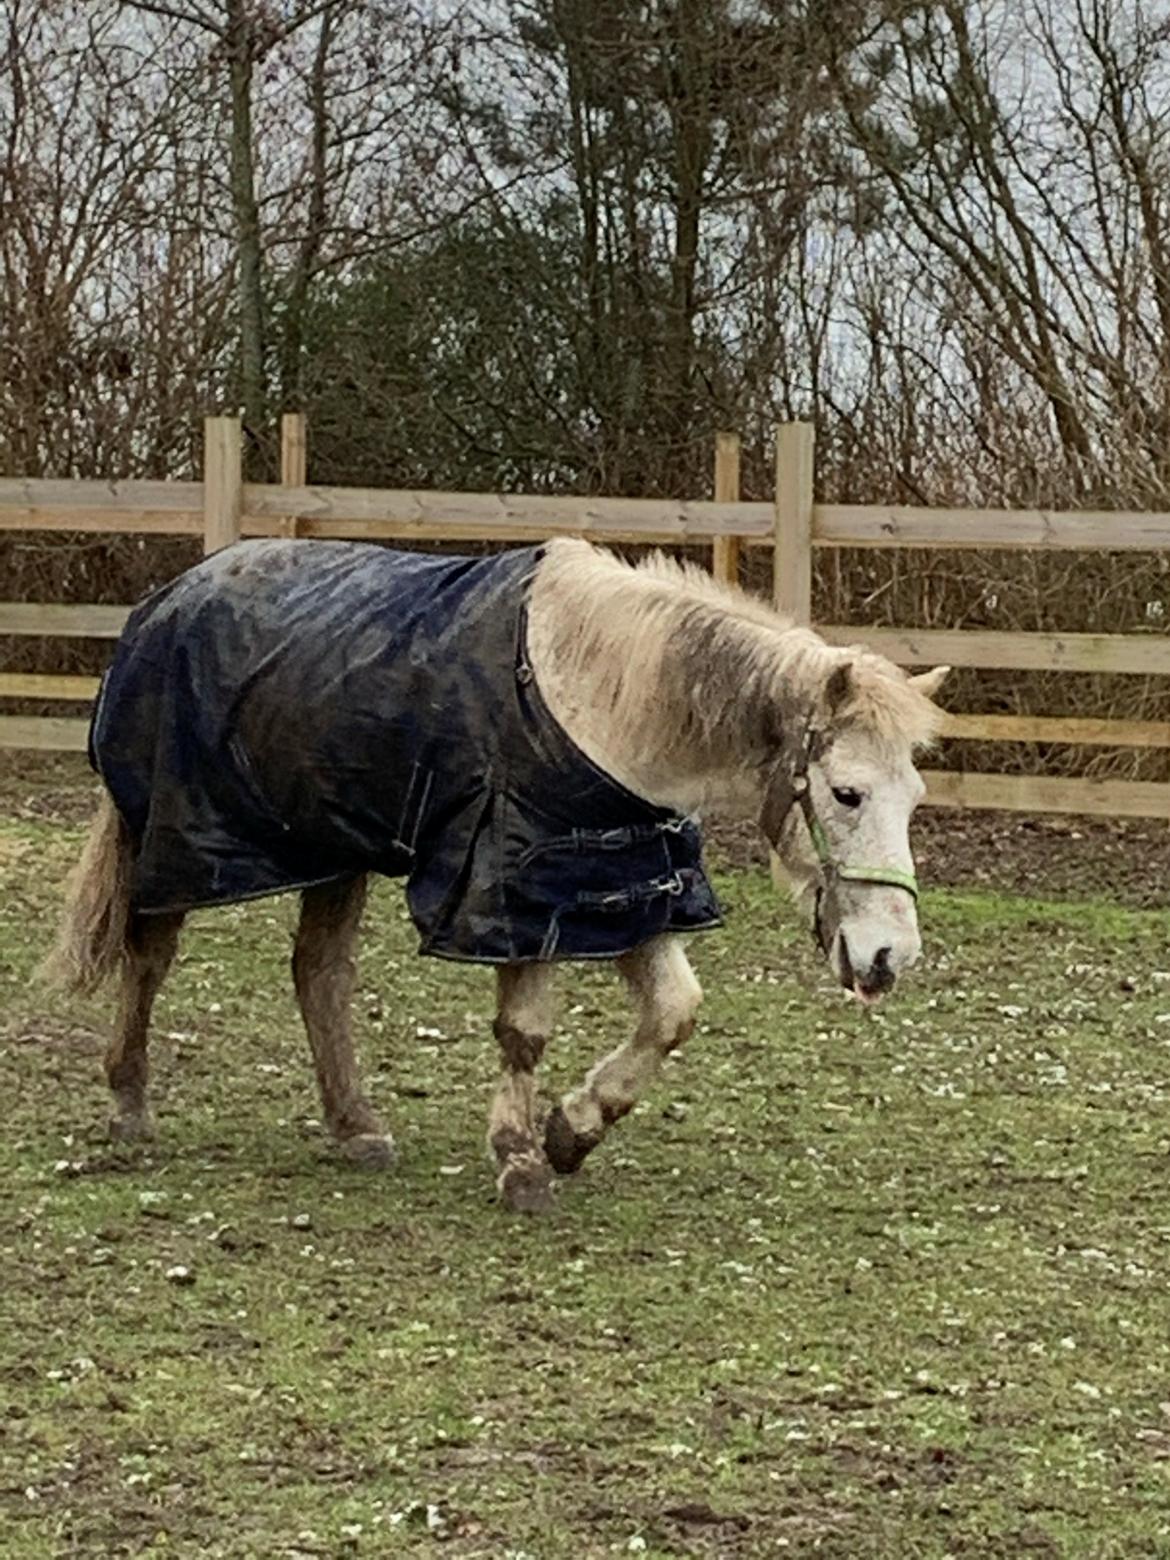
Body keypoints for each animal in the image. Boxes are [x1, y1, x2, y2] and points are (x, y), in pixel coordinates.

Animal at [43, 542, 954, 1210]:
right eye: (846, 792)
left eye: (914, 796)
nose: (890, 958)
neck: (602, 700)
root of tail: (167, 601)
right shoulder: (517, 892)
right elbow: (525, 1033)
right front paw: (521, 1160)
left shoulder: (623, 889)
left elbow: (673, 1013)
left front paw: (573, 1131)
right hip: (176, 840)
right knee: (150, 956)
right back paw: (131, 1105)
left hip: (334, 851)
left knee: (319, 975)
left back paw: (356, 1127)